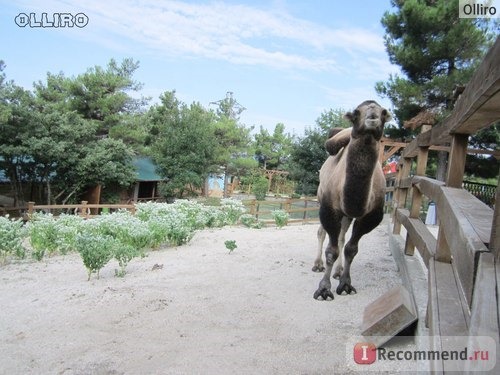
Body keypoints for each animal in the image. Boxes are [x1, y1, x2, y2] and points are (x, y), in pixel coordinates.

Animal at [312, 101, 390, 302]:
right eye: (356, 113)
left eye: (384, 113)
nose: (372, 116)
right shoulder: (329, 210)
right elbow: (331, 250)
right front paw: (323, 290)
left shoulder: (370, 217)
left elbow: (351, 249)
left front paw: (345, 284)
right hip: (321, 199)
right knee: (321, 233)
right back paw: (317, 265)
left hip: (347, 216)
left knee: (341, 237)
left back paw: (338, 271)